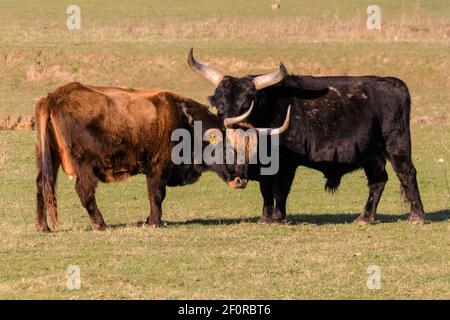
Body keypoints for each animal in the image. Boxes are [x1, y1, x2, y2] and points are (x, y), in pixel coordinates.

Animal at [34, 82, 288, 232]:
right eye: (228, 148)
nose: (241, 181)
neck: (184, 120)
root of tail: (53, 97)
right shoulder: (158, 167)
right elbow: (157, 194)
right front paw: (155, 221)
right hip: (83, 165)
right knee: (84, 191)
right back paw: (101, 224)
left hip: (49, 158)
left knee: (41, 186)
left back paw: (43, 226)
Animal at [188, 50, 428, 225]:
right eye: (219, 102)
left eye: (247, 101)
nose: (231, 122)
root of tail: (393, 82)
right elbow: (266, 189)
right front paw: (265, 218)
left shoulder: (287, 162)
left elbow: (280, 189)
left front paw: (278, 218)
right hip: (372, 155)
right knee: (378, 181)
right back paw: (364, 218)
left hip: (396, 144)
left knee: (407, 174)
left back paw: (417, 217)